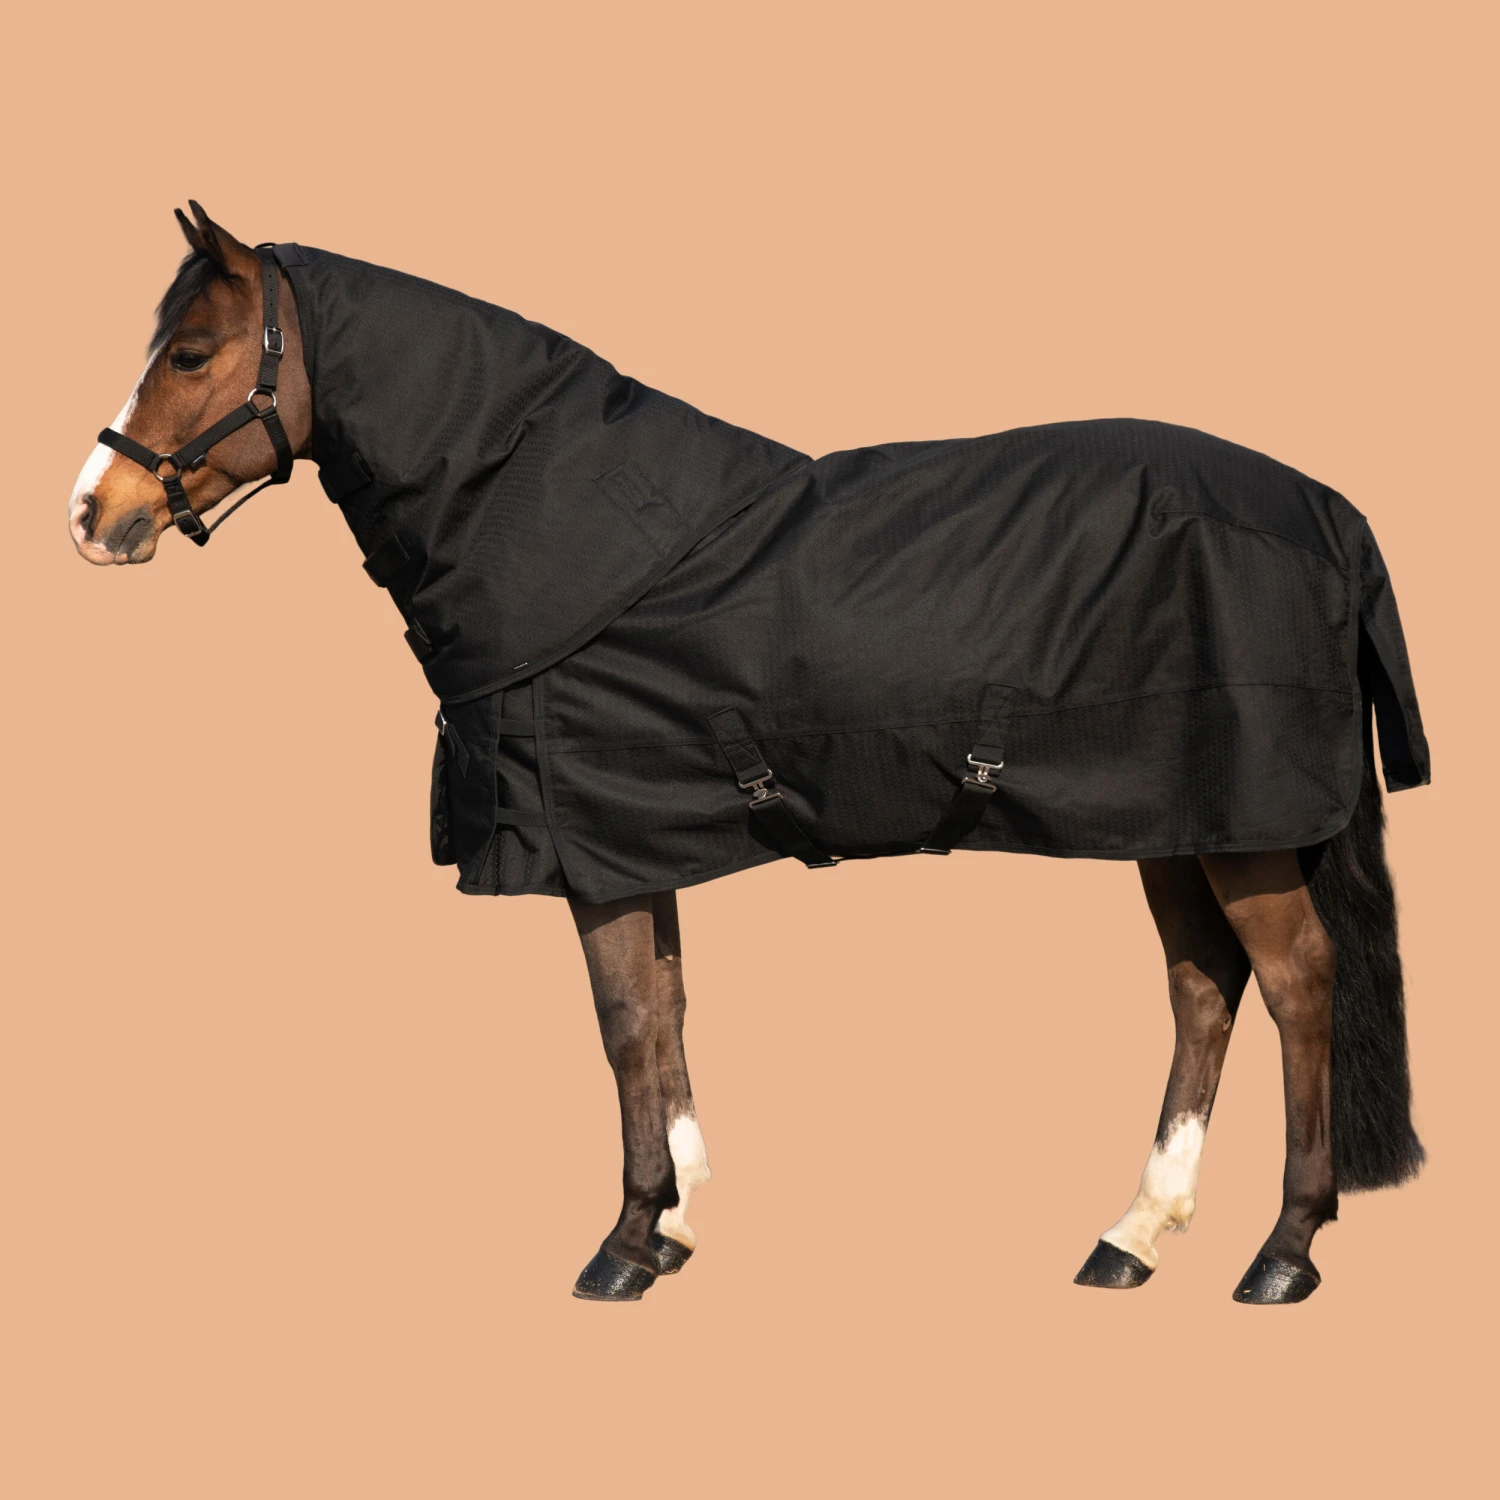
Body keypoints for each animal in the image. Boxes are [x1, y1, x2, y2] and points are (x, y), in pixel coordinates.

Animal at [70, 202, 1428, 1304]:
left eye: (191, 353)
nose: (93, 514)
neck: (564, 530)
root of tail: (1328, 511)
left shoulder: (591, 844)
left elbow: (625, 1026)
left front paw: (625, 1244)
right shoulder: (636, 834)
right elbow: (667, 1013)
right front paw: (675, 1222)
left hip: (1243, 825)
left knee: (1298, 982)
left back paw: (1283, 1252)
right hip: (1174, 821)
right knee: (1204, 988)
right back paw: (1134, 1233)